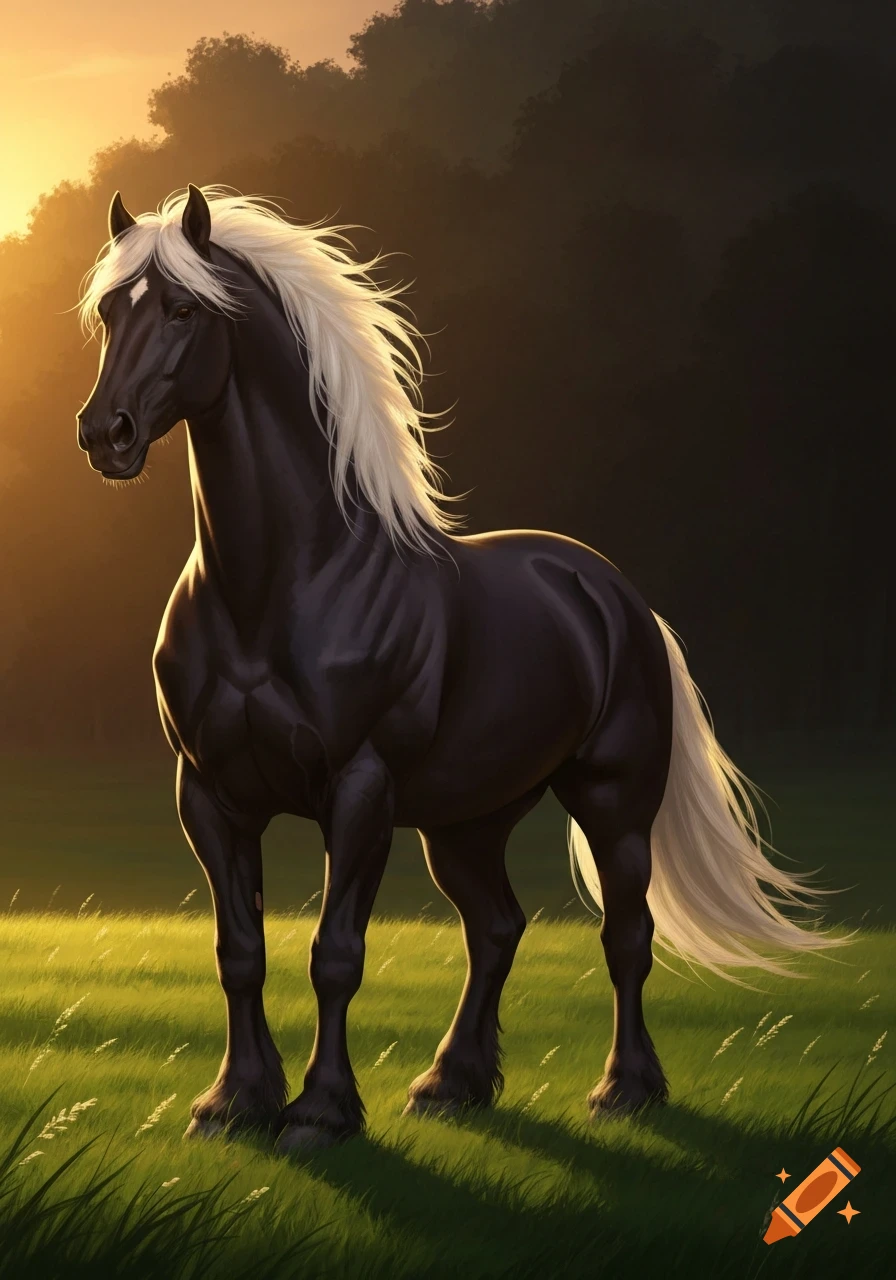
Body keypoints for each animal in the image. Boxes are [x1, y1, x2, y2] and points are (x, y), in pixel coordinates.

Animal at [75, 184, 840, 1151]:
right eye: (110, 311)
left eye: (182, 310)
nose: (105, 433)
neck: (281, 587)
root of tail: (615, 595)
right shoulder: (210, 794)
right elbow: (239, 951)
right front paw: (233, 1103)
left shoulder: (359, 790)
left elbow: (336, 953)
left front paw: (319, 1112)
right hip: (464, 822)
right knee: (498, 928)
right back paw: (451, 1083)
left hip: (612, 803)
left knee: (626, 936)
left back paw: (624, 1089)